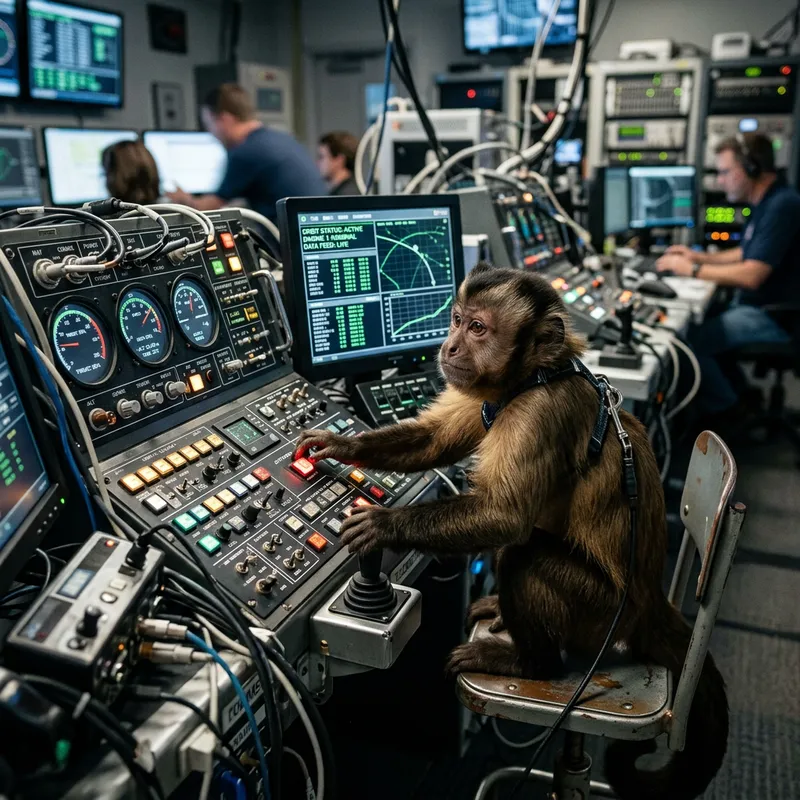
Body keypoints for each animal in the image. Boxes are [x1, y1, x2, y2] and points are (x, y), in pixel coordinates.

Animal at [295, 264, 728, 800]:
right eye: (457, 319)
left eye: (478, 328)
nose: (448, 346)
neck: (535, 375)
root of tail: (650, 602)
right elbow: (433, 441)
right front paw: (339, 444)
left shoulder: (536, 413)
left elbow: (505, 518)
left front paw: (381, 526)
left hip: (604, 616)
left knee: (522, 556)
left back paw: (532, 665)